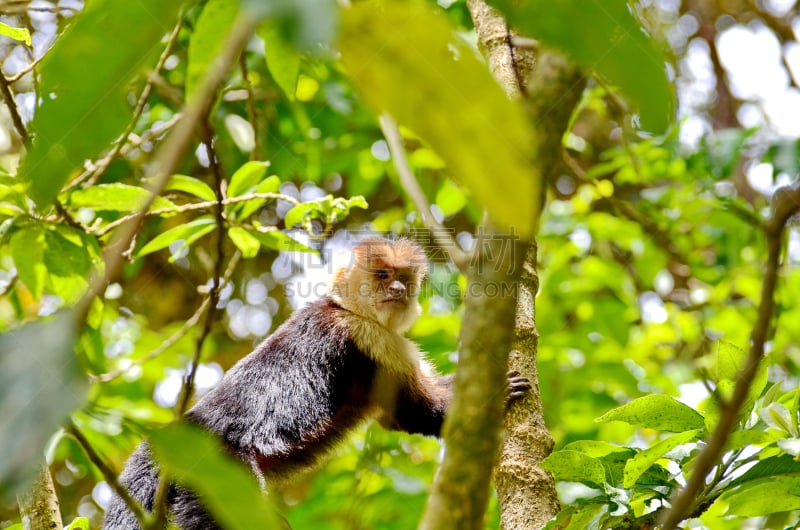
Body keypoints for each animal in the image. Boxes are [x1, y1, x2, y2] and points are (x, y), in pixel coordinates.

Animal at [104, 237, 532, 524]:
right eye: (382, 275)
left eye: (404, 279)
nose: (397, 290)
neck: (346, 307)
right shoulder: (366, 338)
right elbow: (414, 411)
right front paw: (493, 396)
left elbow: (396, 418)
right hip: (216, 471)